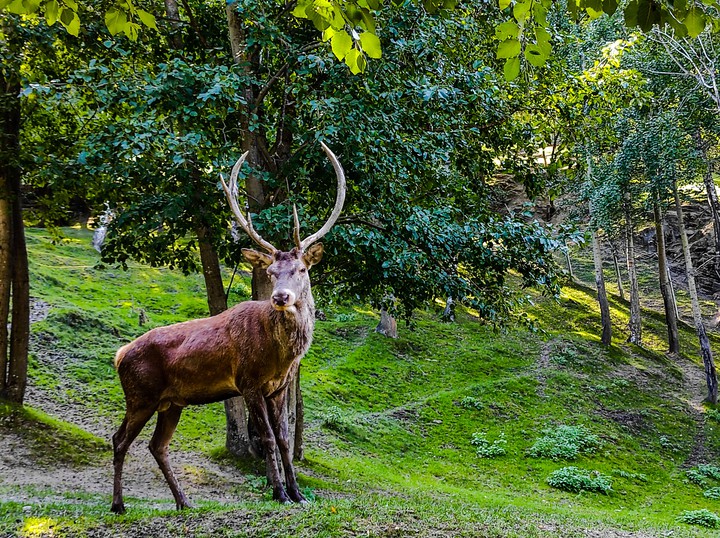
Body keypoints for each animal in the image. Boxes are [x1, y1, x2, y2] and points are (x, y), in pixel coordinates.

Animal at [110, 141, 346, 514]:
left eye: (302, 270)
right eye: (271, 273)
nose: (280, 297)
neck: (281, 357)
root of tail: (119, 355)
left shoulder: (279, 388)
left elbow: (284, 438)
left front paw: (299, 494)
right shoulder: (248, 381)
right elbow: (266, 438)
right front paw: (279, 493)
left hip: (171, 403)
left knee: (157, 445)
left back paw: (184, 502)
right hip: (140, 395)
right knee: (119, 439)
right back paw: (119, 504)